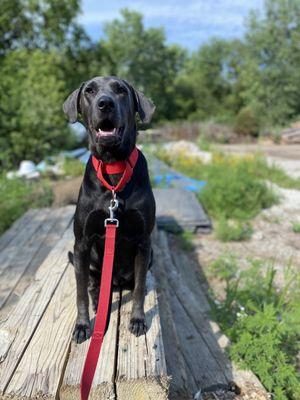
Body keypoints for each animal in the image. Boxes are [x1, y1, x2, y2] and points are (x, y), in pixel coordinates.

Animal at [63, 76, 157, 344]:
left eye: (121, 90)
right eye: (89, 91)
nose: (105, 103)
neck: (114, 167)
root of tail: (115, 282)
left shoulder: (144, 241)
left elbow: (139, 289)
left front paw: (138, 319)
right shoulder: (82, 243)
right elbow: (80, 293)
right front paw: (82, 325)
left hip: (150, 256)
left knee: (136, 283)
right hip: (91, 261)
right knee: (92, 285)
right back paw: (98, 304)